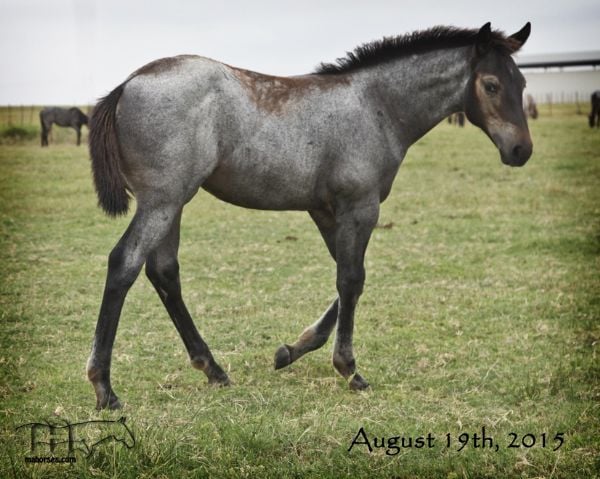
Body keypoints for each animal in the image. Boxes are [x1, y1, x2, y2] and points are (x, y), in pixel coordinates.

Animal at [86, 19, 532, 408]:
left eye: (523, 83)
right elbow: (352, 280)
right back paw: (104, 388)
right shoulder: (360, 207)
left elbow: (345, 280)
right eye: (491, 85)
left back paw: (213, 369)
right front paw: (349, 368)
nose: (521, 150)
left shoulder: (325, 210)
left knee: (164, 272)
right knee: (124, 263)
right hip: (161, 201)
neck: (375, 106)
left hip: (174, 202)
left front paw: (291, 350)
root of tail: (128, 84)